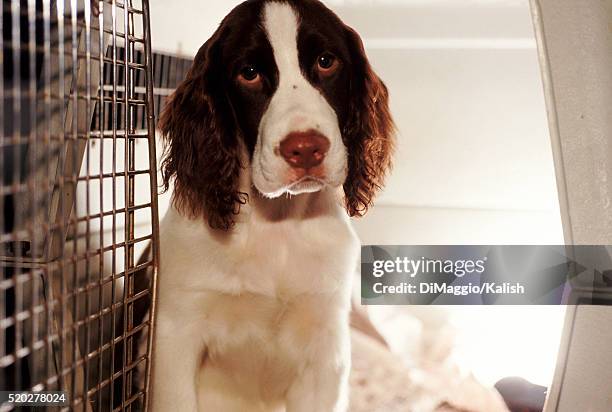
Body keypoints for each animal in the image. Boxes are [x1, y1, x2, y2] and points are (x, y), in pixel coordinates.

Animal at [151, 0, 394, 408]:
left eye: (326, 61)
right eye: (248, 74)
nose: (306, 149)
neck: (278, 222)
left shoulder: (325, 351)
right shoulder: (175, 337)